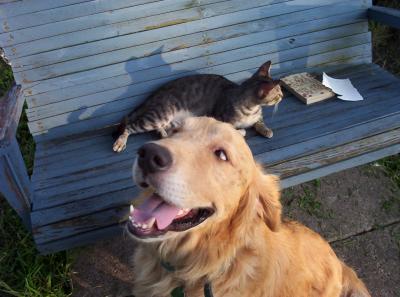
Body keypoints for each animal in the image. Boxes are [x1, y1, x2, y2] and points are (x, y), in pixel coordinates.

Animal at [111, 60, 282, 153]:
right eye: (279, 93)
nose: (282, 96)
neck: (252, 109)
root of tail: (156, 93)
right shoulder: (220, 119)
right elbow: (234, 130)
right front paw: (241, 131)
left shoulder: (257, 116)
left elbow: (259, 122)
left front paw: (266, 129)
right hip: (159, 115)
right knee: (130, 126)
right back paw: (120, 142)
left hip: (171, 120)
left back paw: (165, 135)